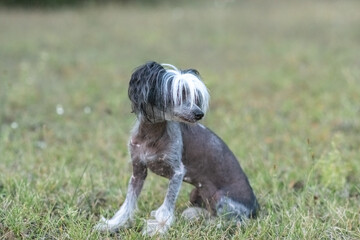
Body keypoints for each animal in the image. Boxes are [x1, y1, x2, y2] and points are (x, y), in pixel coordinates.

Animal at [95, 61, 258, 235]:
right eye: (179, 94)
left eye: (194, 97)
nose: (199, 114)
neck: (151, 134)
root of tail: (256, 207)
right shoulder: (138, 172)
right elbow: (128, 204)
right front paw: (112, 225)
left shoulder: (177, 172)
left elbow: (167, 206)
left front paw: (158, 228)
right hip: (196, 193)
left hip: (220, 197)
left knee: (237, 221)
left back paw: (210, 223)